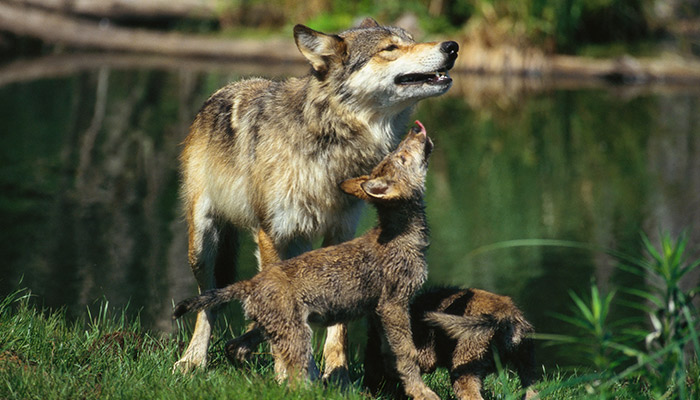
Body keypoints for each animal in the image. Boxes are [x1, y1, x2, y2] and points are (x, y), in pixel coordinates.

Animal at [175, 16, 460, 378]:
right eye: (390, 48)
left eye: (411, 39)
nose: (452, 46)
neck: (330, 141)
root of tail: (223, 90)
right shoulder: (271, 233)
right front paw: (286, 374)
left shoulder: (341, 232)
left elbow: (337, 324)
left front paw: (337, 374)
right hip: (203, 241)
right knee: (206, 303)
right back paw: (193, 359)